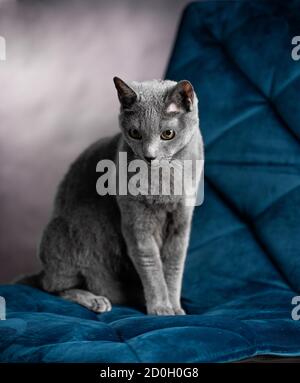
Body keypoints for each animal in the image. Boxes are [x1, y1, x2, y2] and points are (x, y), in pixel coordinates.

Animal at [22, 77, 204, 316]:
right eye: (135, 133)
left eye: (168, 134)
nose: (149, 156)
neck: (164, 180)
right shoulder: (136, 224)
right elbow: (152, 266)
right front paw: (161, 308)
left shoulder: (180, 223)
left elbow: (174, 267)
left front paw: (175, 307)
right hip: (63, 234)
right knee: (54, 287)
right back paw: (97, 300)